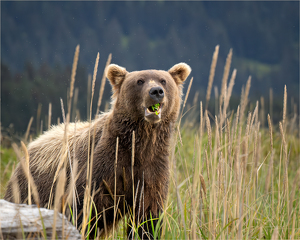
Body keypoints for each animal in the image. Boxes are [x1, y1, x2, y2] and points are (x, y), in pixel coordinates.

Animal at [3, 62, 191, 238]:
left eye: (163, 80)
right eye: (140, 81)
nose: (156, 91)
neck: (140, 144)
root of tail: (33, 143)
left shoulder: (152, 169)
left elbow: (147, 216)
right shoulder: (101, 168)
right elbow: (85, 210)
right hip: (32, 188)